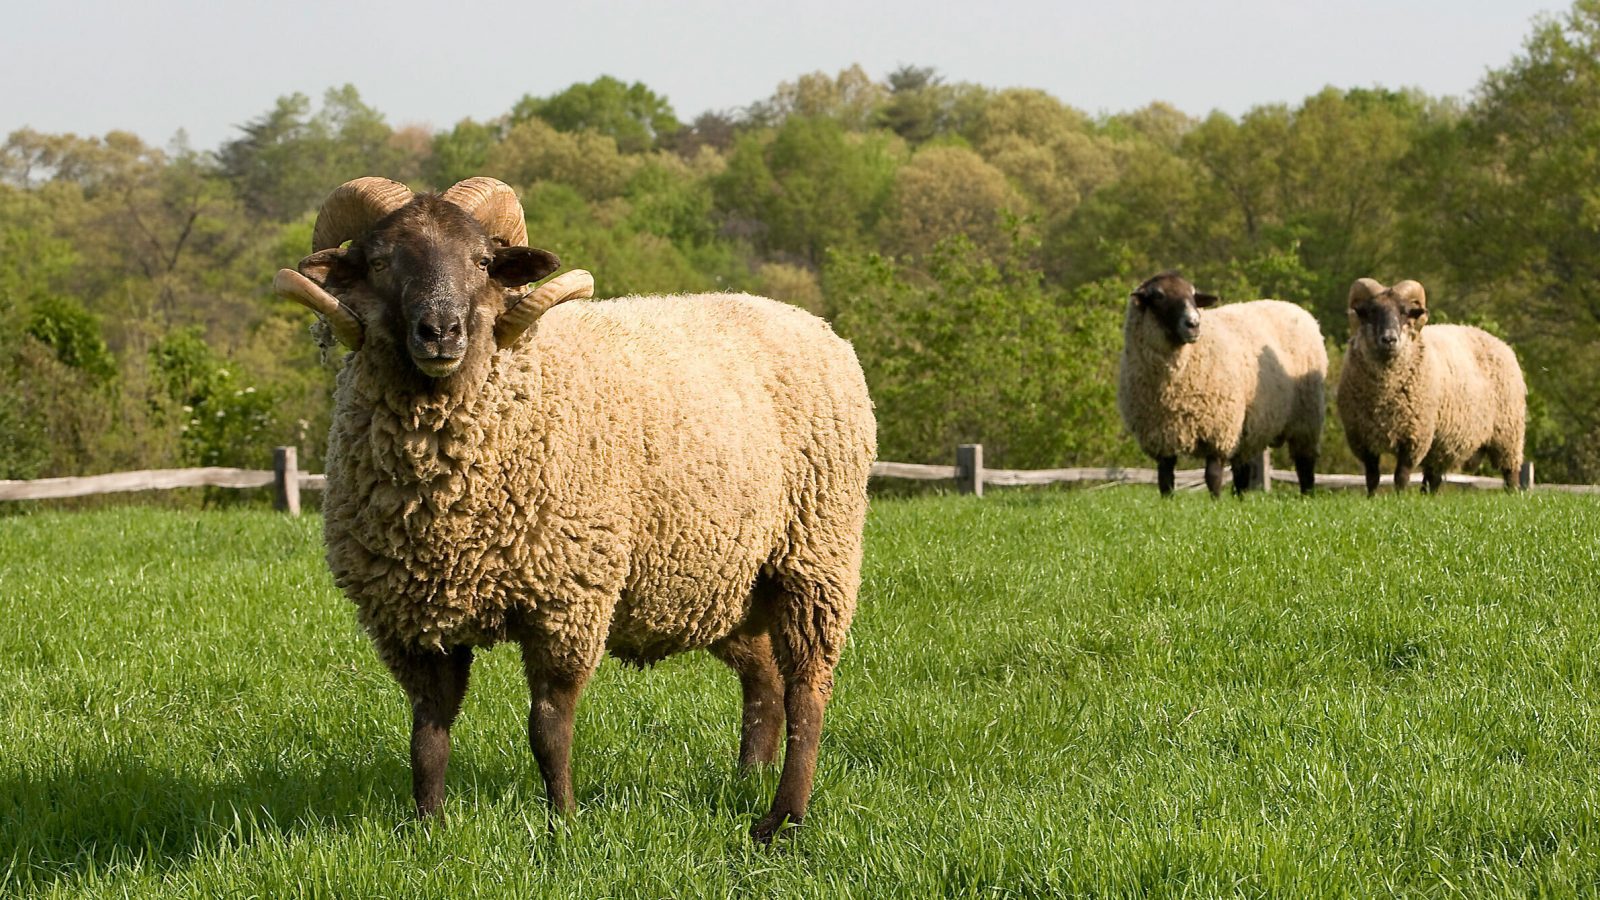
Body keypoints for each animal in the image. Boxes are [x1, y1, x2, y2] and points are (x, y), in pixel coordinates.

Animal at [275, 176, 876, 839]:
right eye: (380, 262)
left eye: (482, 262)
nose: (441, 332)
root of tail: (815, 322)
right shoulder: (412, 619)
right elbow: (427, 735)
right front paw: (427, 829)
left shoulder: (568, 596)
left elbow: (548, 728)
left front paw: (562, 824)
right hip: (723, 580)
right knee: (764, 678)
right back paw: (748, 778)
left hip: (814, 555)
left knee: (807, 691)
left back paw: (782, 818)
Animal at [1113, 273, 1324, 496]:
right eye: (1158, 295)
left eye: (1193, 295)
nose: (1193, 323)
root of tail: (1293, 307)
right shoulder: (1161, 436)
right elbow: (1165, 479)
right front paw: (1167, 501)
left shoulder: (1219, 430)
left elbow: (1213, 476)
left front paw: (1216, 502)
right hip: (1248, 429)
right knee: (1242, 470)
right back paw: (1240, 497)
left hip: (1306, 417)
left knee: (1305, 464)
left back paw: (1307, 495)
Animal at [1337, 277, 1523, 493]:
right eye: (1372, 312)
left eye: (1405, 312)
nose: (1389, 339)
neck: (1384, 393)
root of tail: (1501, 343)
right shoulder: (1363, 439)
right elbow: (1372, 477)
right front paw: (1372, 497)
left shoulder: (1414, 437)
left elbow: (1401, 476)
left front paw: (1398, 498)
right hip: (1443, 442)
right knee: (1433, 477)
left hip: (1508, 434)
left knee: (1510, 473)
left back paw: (1512, 493)